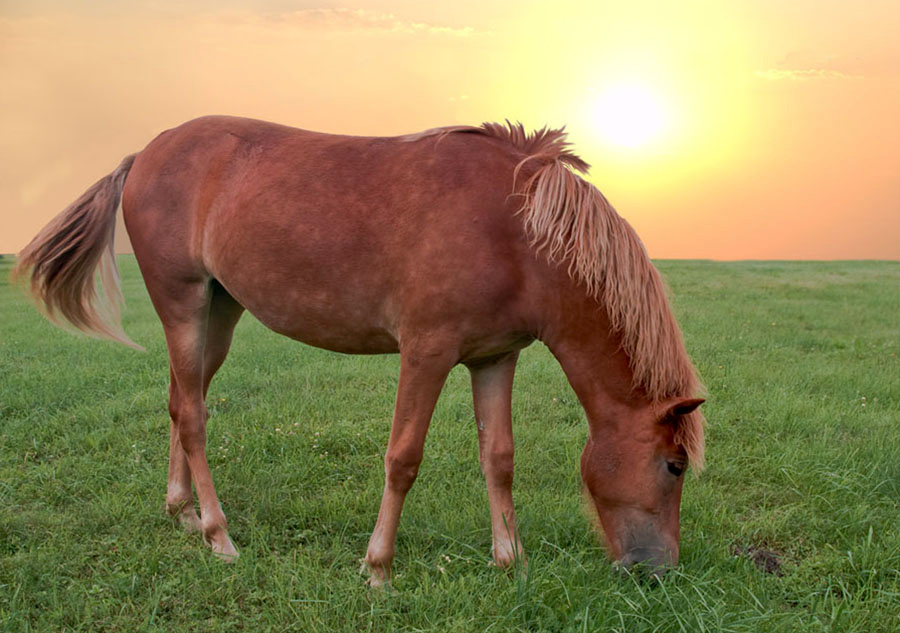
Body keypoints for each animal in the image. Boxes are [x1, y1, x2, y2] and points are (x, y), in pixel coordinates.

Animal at [15, 116, 705, 584]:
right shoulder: (426, 351)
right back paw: (218, 535)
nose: (659, 570)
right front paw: (378, 569)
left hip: (219, 312)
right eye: (674, 466)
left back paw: (182, 513)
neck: (515, 230)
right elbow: (403, 458)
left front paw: (511, 562)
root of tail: (147, 152)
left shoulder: (494, 357)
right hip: (182, 305)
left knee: (180, 402)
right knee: (191, 414)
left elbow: (499, 457)